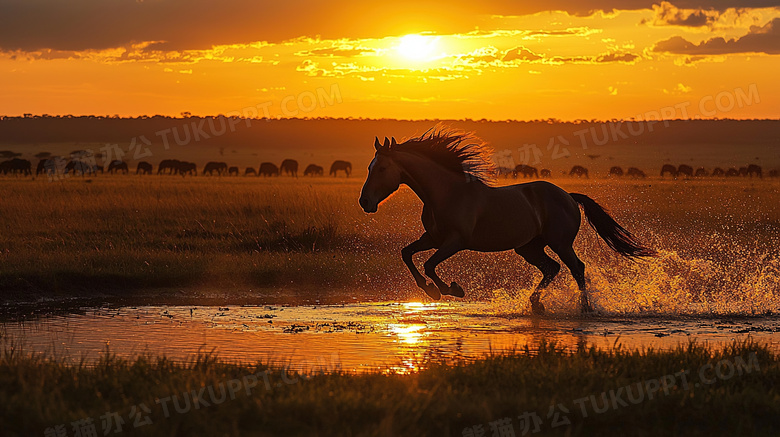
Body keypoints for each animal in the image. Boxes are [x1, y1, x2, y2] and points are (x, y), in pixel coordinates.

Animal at [358, 129, 655, 314]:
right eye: (369, 167)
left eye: (381, 168)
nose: (364, 202)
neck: (445, 193)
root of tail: (568, 196)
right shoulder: (431, 238)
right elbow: (407, 254)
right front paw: (431, 291)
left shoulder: (455, 241)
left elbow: (430, 264)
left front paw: (451, 289)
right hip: (529, 247)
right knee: (552, 268)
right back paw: (536, 305)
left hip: (560, 243)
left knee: (576, 268)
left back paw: (585, 309)